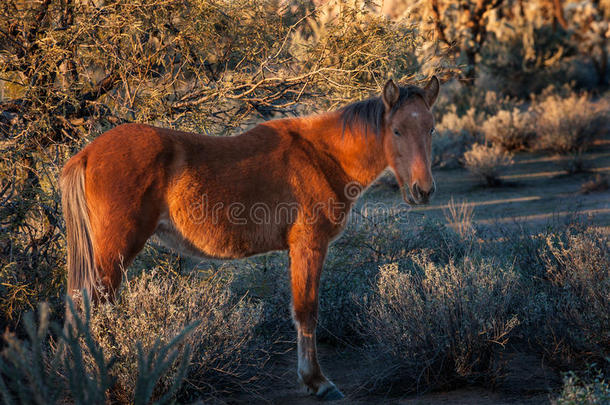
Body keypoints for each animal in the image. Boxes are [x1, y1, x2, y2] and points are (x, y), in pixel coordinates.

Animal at [60, 77, 436, 400]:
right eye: (397, 130)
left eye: (431, 128)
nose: (423, 190)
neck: (320, 155)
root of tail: (87, 154)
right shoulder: (310, 246)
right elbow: (307, 311)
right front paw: (317, 381)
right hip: (114, 254)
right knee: (94, 308)